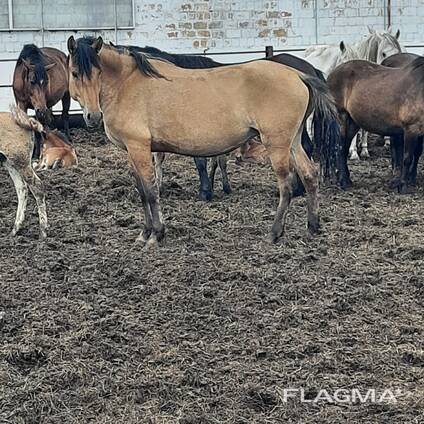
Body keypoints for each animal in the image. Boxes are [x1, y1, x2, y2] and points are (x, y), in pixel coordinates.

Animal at [66, 36, 338, 248]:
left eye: (98, 72)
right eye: (75, 73)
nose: (92, 116)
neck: (127, 83)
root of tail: (299, 75)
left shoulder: (139, 148)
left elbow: (151, 192)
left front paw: (156, 234)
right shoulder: (132, 152)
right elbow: (142, 192)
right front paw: (144, 233)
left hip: (277, 145)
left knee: (286, 185)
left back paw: (274, 233)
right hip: (293, 143)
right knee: (310, 174)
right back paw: (313, 226)